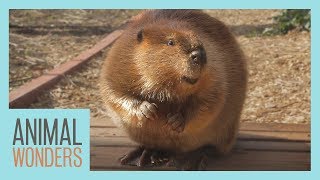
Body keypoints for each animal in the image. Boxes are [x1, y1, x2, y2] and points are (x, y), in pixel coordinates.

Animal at [100, 9, 248, 170]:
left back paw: (189, 160)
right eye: (170, 42)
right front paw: (147, 109)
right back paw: (143, 156)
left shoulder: (215, 69)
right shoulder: (120, 59)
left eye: (200, 40)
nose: (199, 55)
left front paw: (176, 121)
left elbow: (211, 100)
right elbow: (113, 92)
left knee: (209, 147)